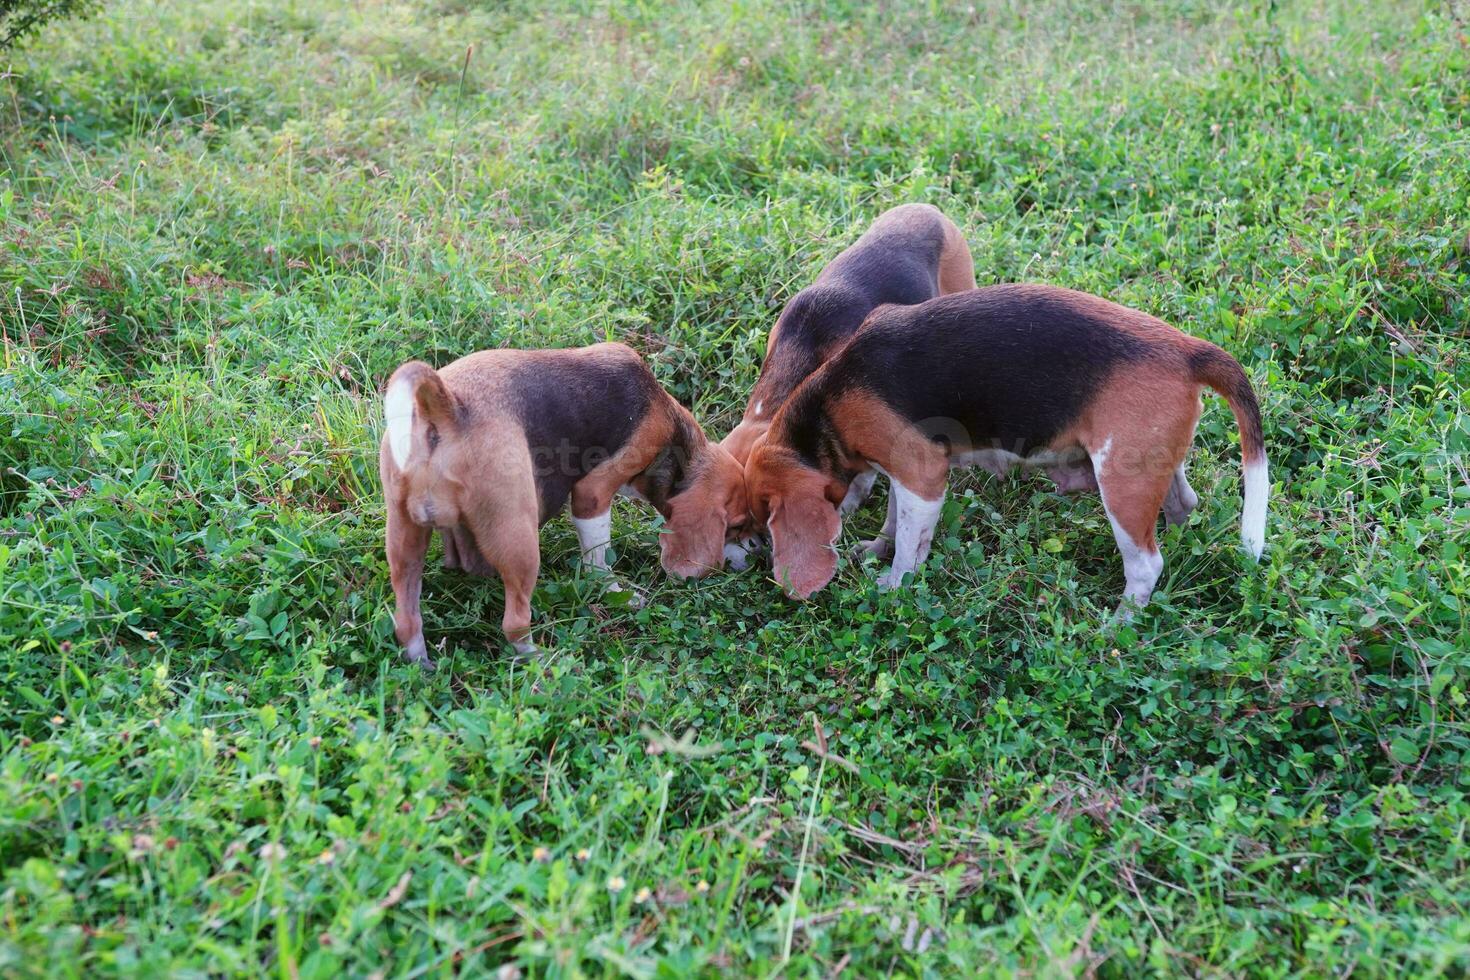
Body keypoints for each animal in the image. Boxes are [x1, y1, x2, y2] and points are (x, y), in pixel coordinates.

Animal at [382, 340, 746, 664]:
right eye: (738, 525)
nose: (748, 560)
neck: (673, 433)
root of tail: (446, 406)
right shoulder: (592, 493)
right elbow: (598, 561)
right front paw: (615, 592)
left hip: (404, 538)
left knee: (407, 622)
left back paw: (422, 664)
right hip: (519, 541)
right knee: (514, 622)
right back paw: (541, 659)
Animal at [740, 283, 1270, 617]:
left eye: (759, 520)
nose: (751, 556)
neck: (826, 408)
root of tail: (1187, 350)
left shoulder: (922, 477)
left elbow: (910, 549)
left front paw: (891, 586)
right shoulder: (901, 474)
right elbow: (893, 520)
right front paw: (875, 548)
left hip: (1122, 484)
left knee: (1145, 565)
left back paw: (1117, 625)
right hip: (1150, 461)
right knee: (1183, 503)